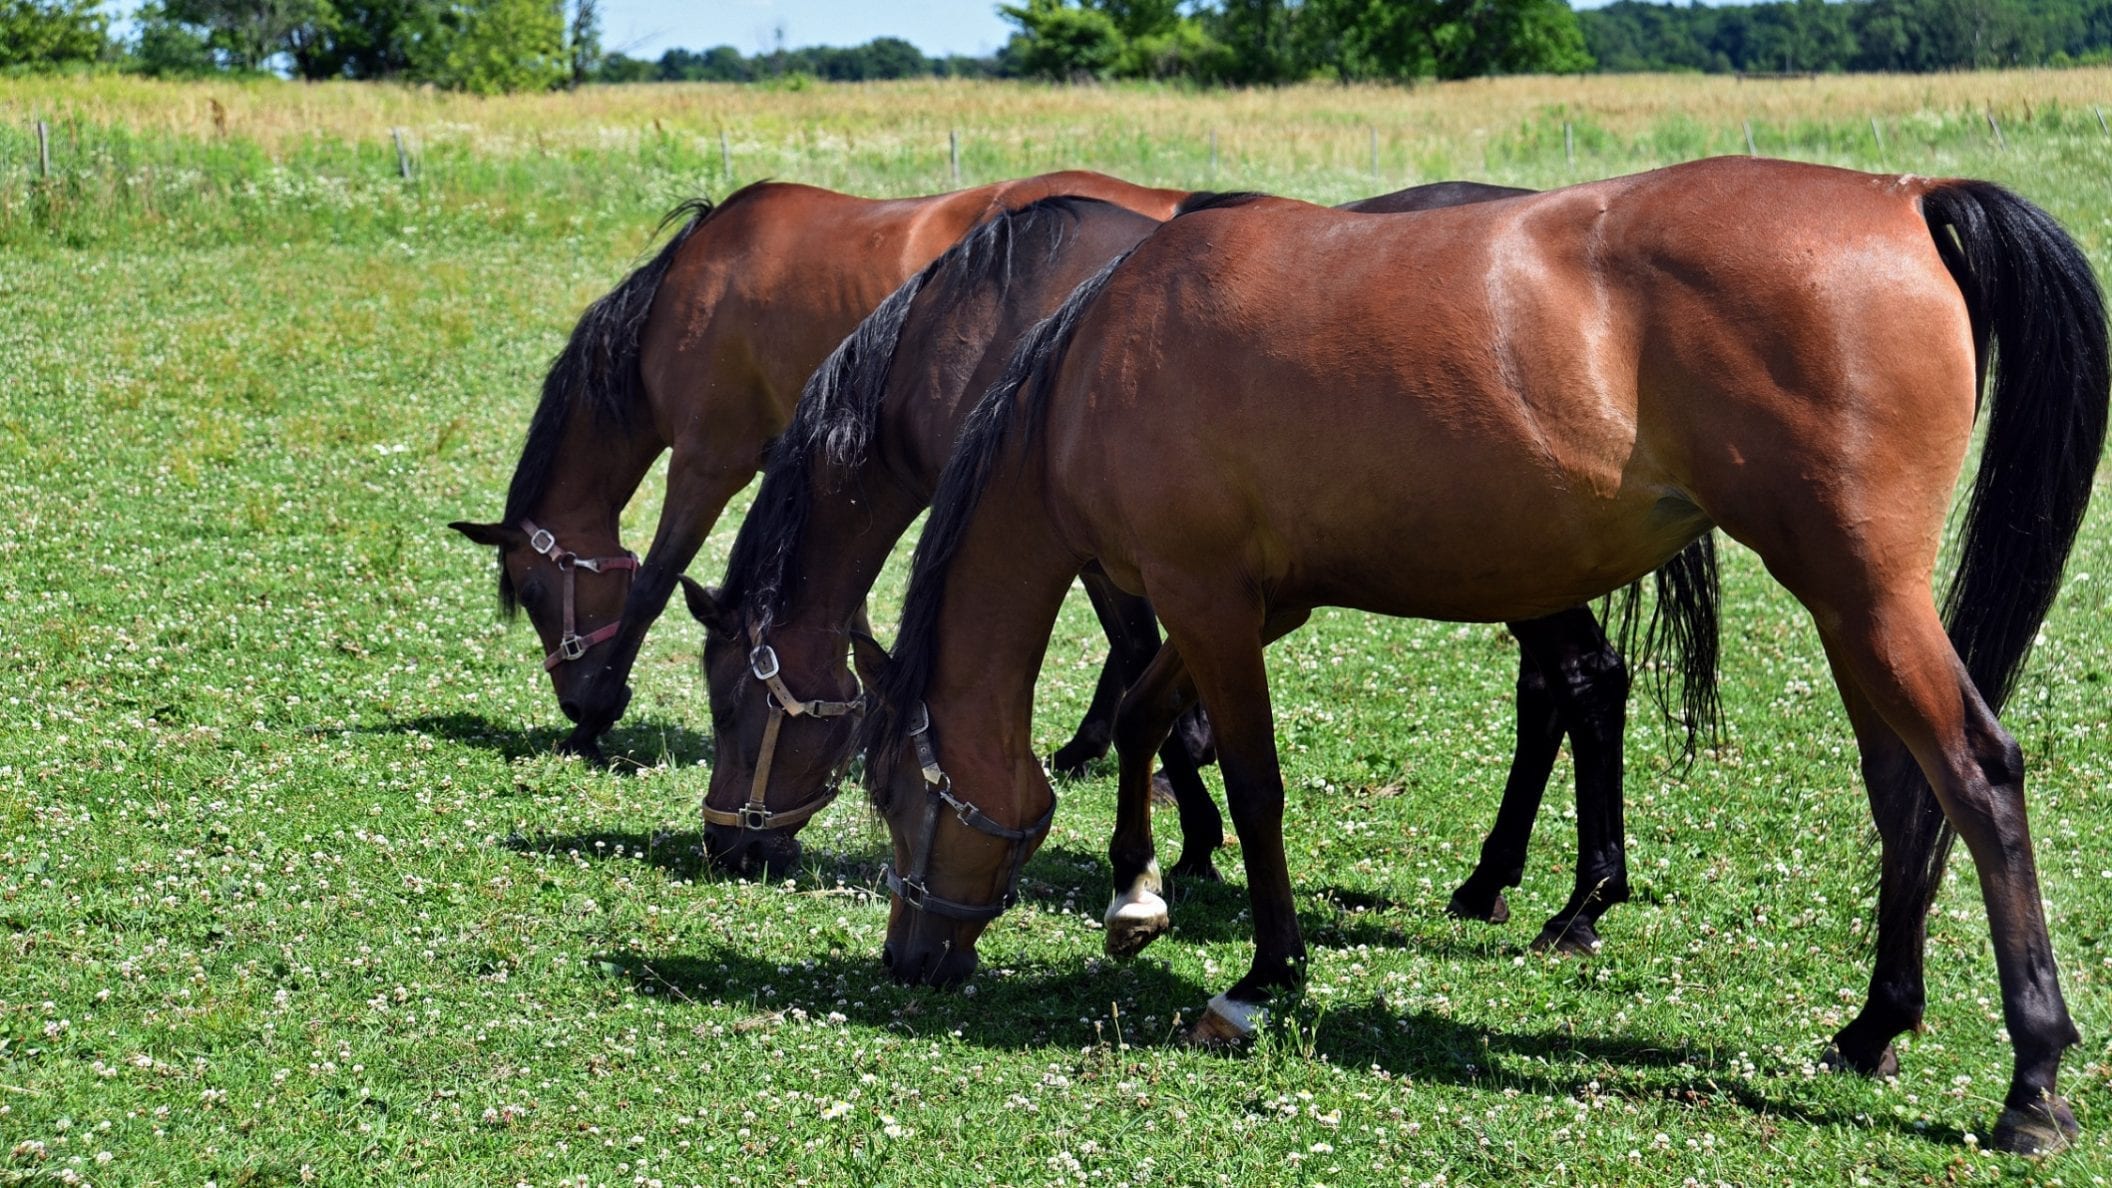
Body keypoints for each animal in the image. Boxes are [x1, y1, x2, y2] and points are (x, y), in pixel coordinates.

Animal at [447, 172, 1188, 762]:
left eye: (534, 593)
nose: (572, 701)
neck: (686, 289)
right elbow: (849, 609)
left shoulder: (707, 464)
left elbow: (652, 582)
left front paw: (595, 716)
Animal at [682, 183, 1716, 962]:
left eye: (733, 706)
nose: (728, 843)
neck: (987, 328)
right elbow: (1151, 683)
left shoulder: (1127, 563)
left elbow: (1148, 675)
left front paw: (1190, 838)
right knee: (1556, 689)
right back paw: (1496, 881)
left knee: (1584, 680)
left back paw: (1575, 904)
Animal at [855, 158, 2107, 1155]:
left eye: (900, 798)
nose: (908, 960)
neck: (1098, 361)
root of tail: (1905, 197)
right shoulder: (1245, 608)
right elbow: (1147, 720)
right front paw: (1137, 890)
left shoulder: (1205, 602)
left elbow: (1252, 786)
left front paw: (1265, 975)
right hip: (1853, 612)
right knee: (1903, 790)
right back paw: (1874, 1025)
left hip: (1864, 596)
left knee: (1979, 778)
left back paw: (2032, 1081)